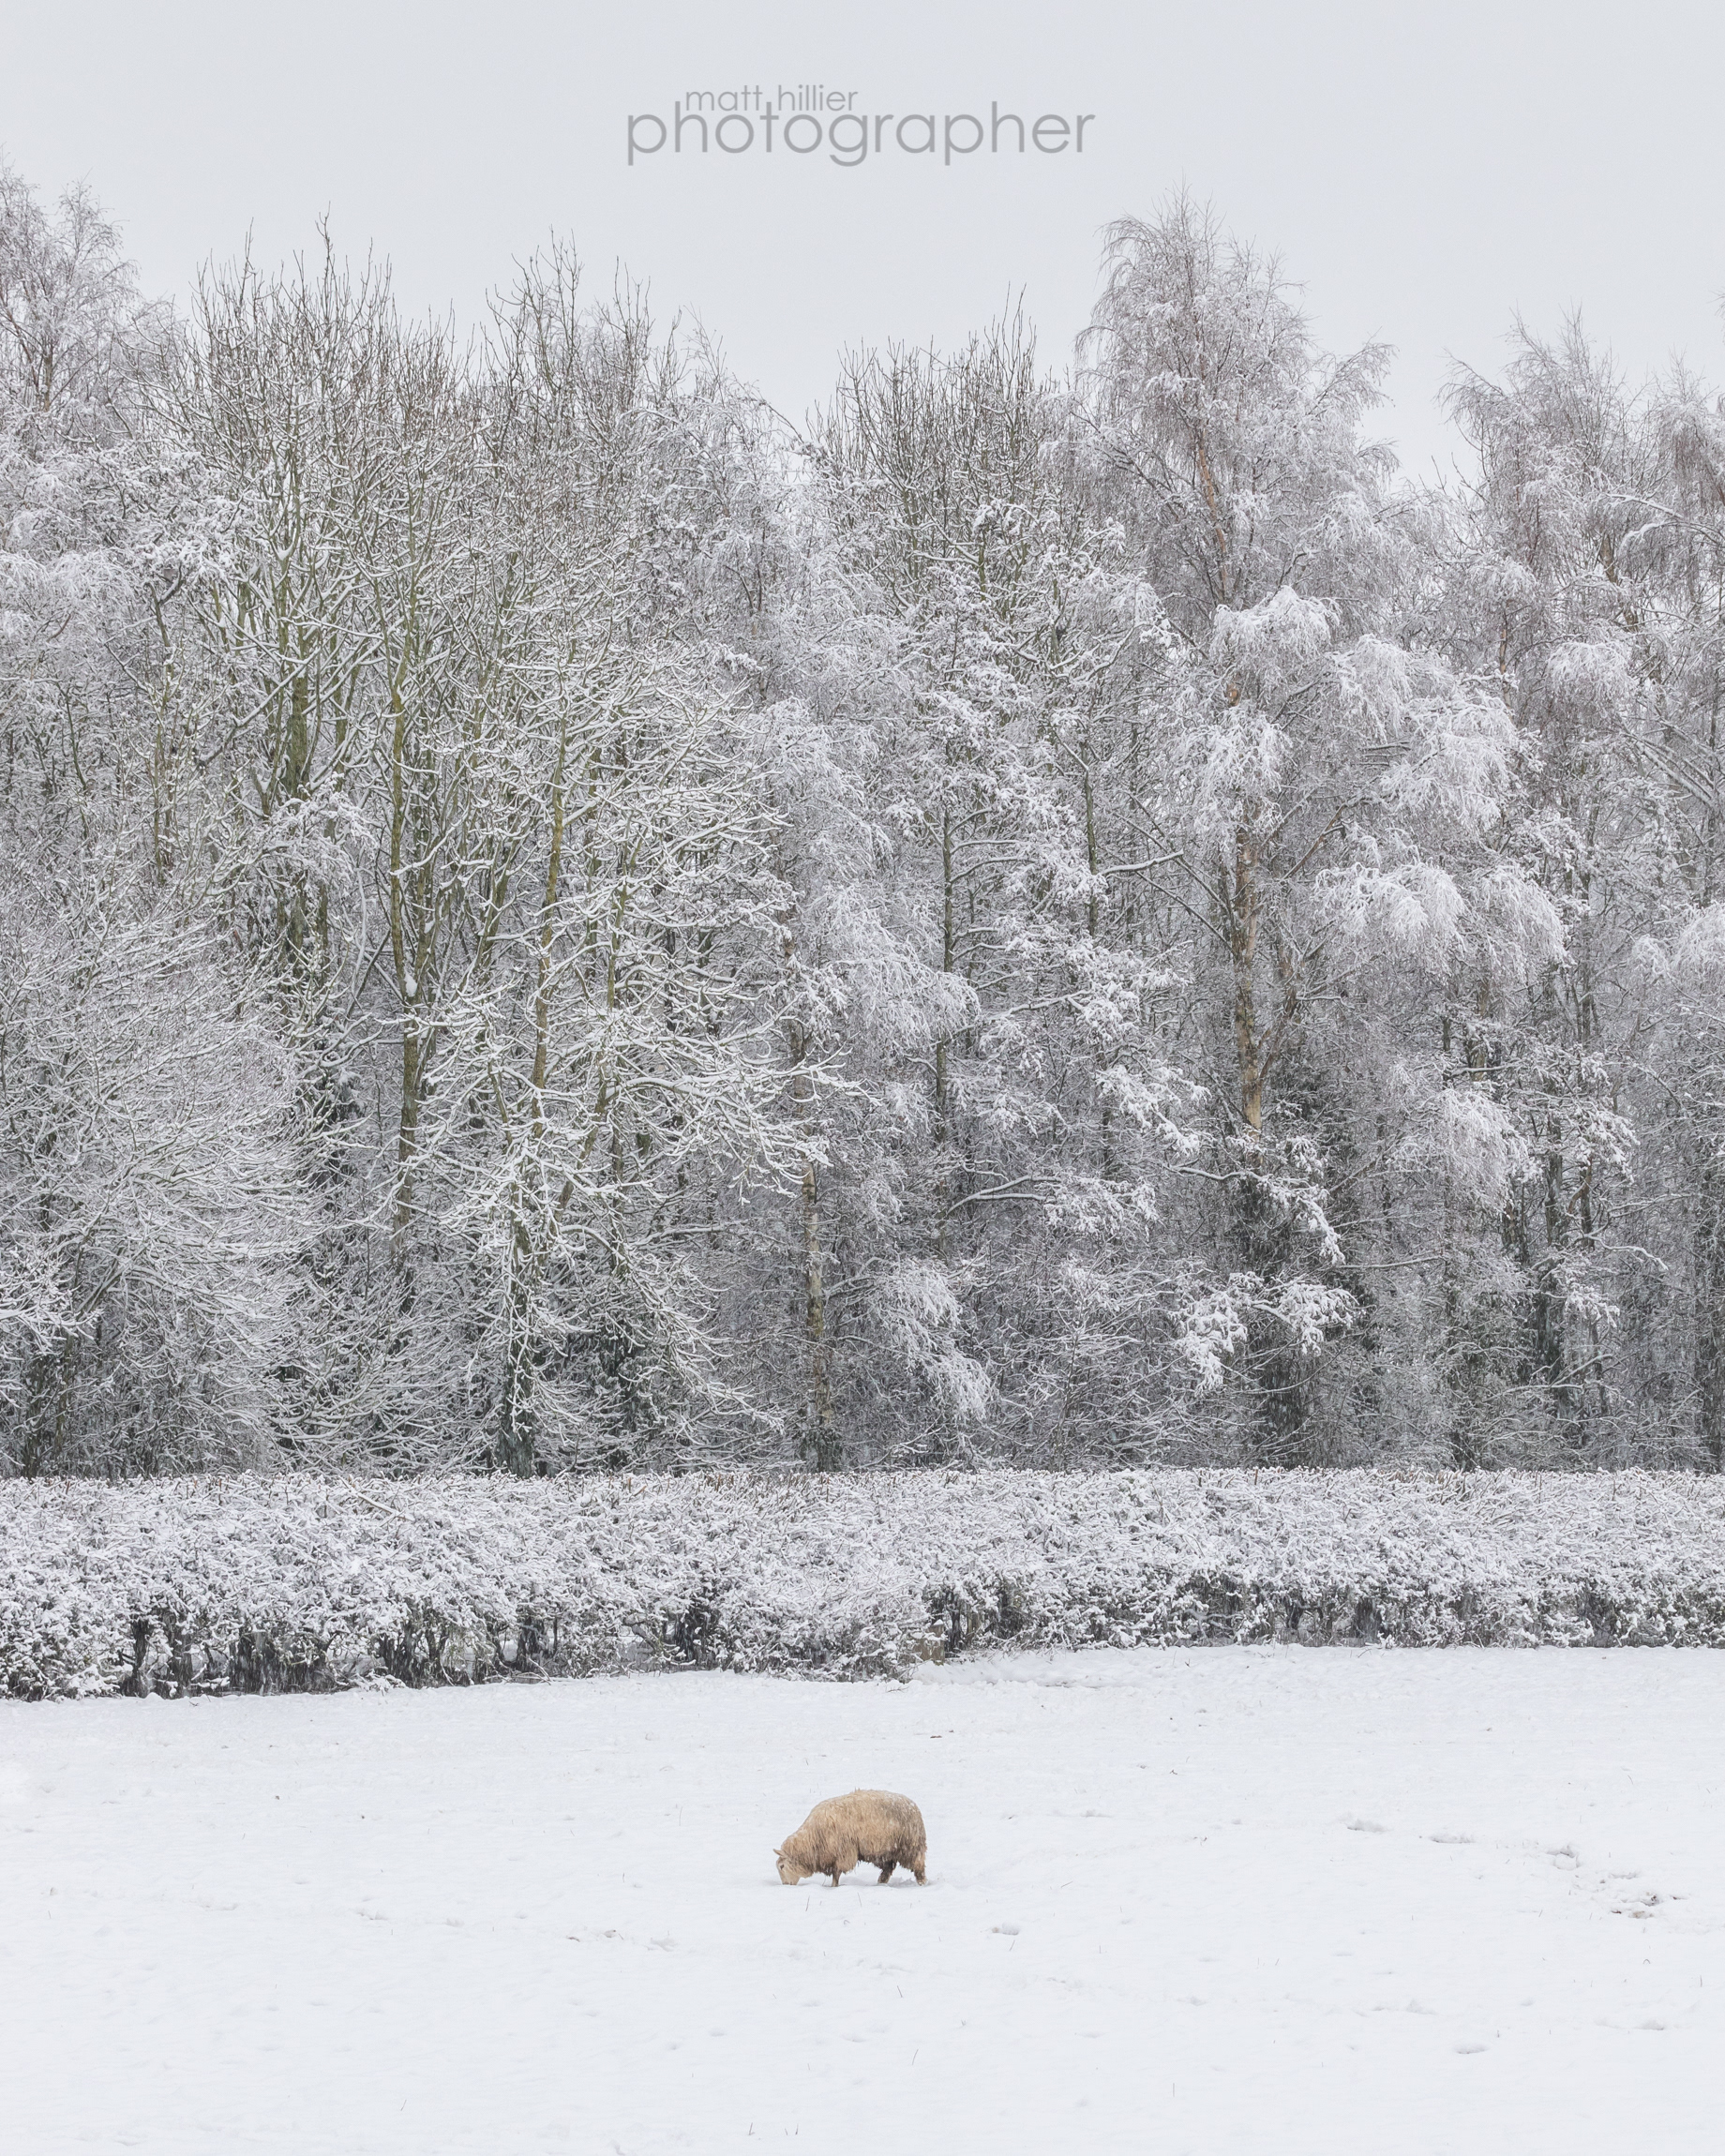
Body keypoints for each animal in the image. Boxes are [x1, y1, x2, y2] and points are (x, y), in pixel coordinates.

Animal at [774, 1789, 927, 1887]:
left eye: (782, 1866)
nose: (786, 1885)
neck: (812, 1840)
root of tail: (913, 1806)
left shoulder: (842, 1854)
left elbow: (836, 1874)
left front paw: (834, 1887)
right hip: (884, 1851)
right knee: (888, 1868)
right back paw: (881, 1883)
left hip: (910, 1846)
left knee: (918, 1866)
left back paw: (922, 1883)